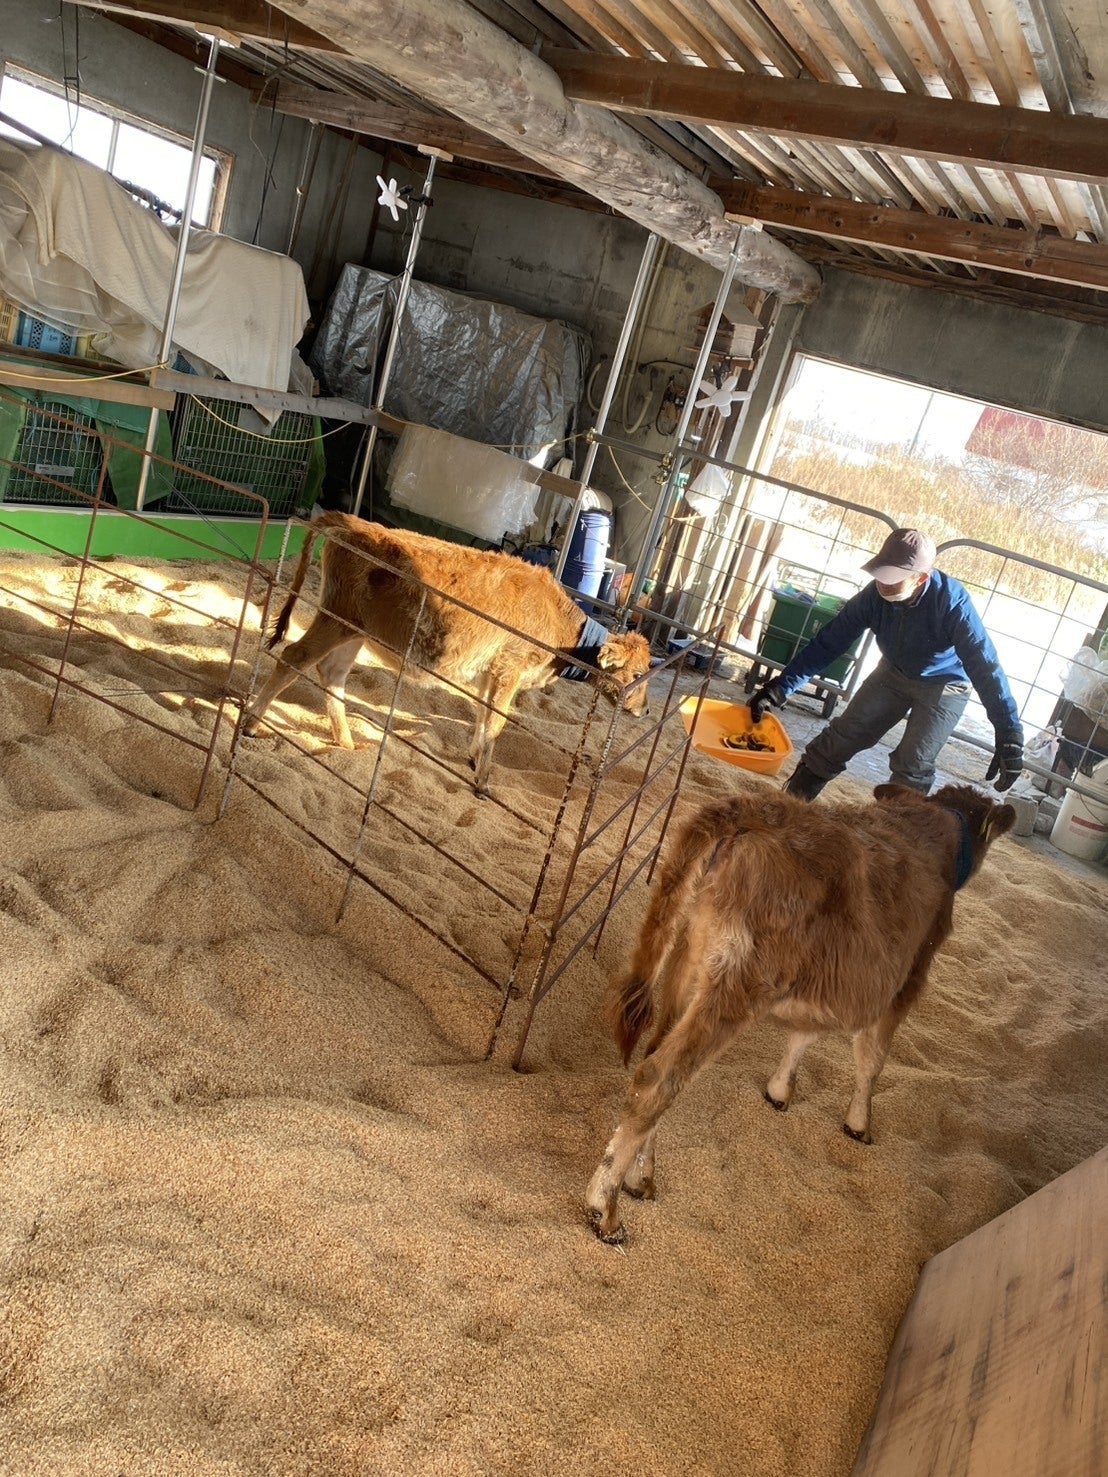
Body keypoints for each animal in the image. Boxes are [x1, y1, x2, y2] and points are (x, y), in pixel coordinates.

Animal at [243, 512, 653, 794]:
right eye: (635, 676)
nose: (645, 710)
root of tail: (353, 521)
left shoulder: (492, 673)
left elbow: (484, 717)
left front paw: (473, 760)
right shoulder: (509, 670)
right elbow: (497, 722)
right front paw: (483, 782)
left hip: (354, 629)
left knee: (333, 673)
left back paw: (346, 742)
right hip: (336, 619)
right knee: (294, 657)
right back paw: (250, 724)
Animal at [585, 782, 1015, 1243]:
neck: (940, 824)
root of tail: (749, 809)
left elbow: (804, 1034)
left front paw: (779, 1090)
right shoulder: (906, 981)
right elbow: (872, 1059)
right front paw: (859, 1123)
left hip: (691, 958)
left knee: (657, 1057)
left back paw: (640, 1177)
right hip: (741, 979)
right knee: (658, 1077)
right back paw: (605, 1210)